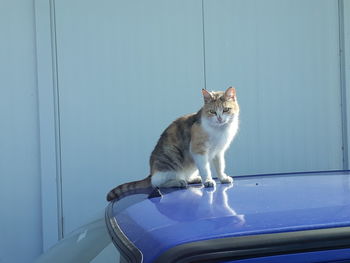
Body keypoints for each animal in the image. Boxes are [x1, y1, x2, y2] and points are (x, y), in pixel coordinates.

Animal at [105, 87, 239, 202]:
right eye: (212, 112)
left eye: (226, 110)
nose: (220, 119)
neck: (219, 130)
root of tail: (151, 172)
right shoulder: (198, 150)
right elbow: (205, 168)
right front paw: (208, 180)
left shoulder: (219, 152)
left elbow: (220, 166)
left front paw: (223, 178)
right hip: (171, 156)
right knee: (157, 183)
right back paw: (178, 182)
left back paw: (193, 178)